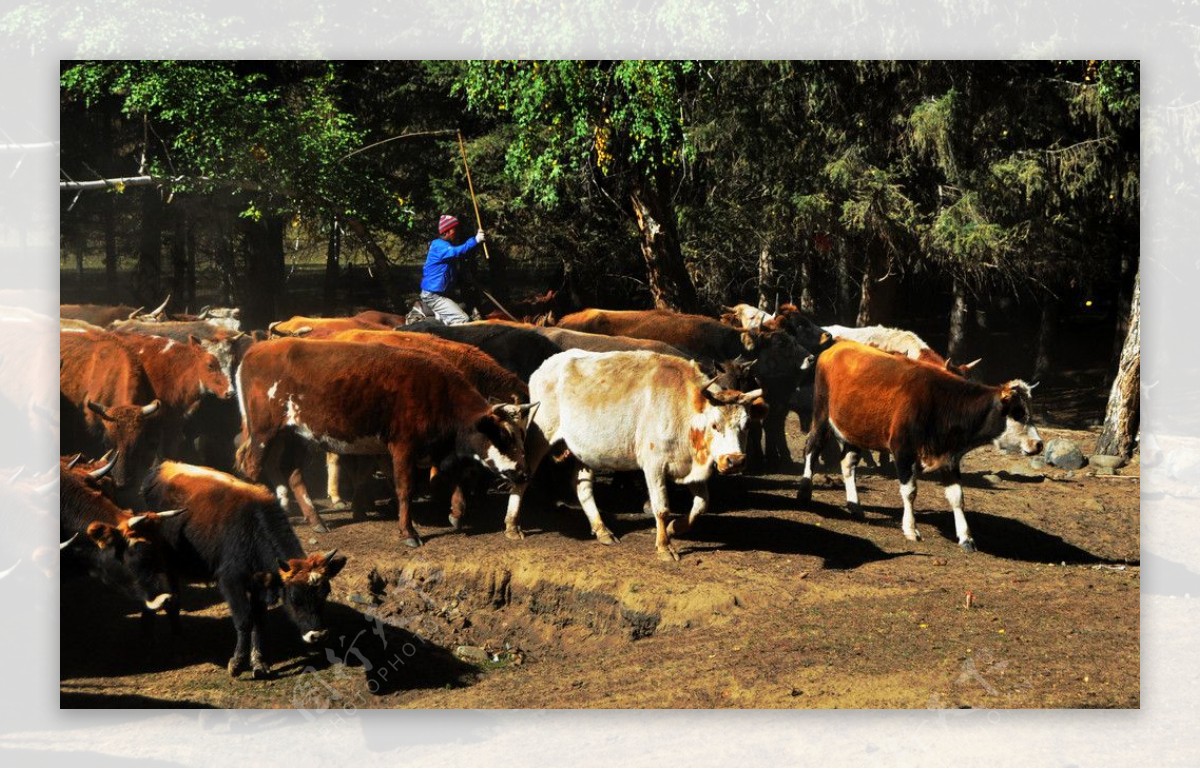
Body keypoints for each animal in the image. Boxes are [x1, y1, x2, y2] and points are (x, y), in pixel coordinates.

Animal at [235, 338, 535, 547]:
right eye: (504, 435)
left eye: (522, 434)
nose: (523, 473)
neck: (438, 394)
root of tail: (257, 349)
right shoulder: (403, 447)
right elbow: (405, 489)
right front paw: (409, 532)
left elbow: (458, 477)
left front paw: (456, 513)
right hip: (264, 432)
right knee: (253, 468)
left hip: (296, 436)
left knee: (293, 474)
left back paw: (315, 519)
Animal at [504, 350, 763, 561]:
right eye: (715, 425)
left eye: (747, 425)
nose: (735, 460)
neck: (684, 407)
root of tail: (545, 365)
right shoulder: (654, 465)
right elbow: (662, 507)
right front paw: (664, 546)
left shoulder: (689, 467)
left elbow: (701, 505)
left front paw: (674, 528)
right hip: (540, 435)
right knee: (524, 478)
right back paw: (512, 526)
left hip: (583, 450)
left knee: (583, 487)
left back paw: (602, 530)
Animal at [796, 338, 1041, 549]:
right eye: (1018, 413)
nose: (1038, 444)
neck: (942, 402)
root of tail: (837, 347)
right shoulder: (903, 451)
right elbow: (910, 491)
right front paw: (911, 529)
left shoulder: (949, 456)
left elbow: (957, 497)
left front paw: (965, 537)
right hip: (821, 414)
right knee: (811, 448)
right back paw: (805, 491)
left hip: (854, 430)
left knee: (847, 464)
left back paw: (855, 506)